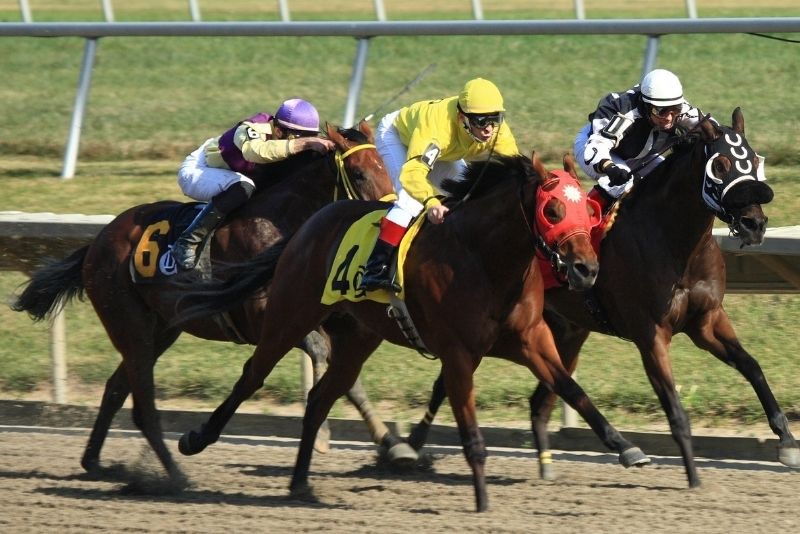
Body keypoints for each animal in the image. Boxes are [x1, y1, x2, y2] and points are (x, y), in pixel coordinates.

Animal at [9, 122, 404, 490]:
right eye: (358, 173)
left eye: (385, 166)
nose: (387, 213)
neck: (279, 224)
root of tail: (96, 243)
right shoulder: (265, 317)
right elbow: (321, 353)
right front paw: (324, 434)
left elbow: (348, 376)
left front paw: (392, 443)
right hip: (128, 323)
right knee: (143, 406)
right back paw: (174, 476)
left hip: (161, 329)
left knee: (116, 389)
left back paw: (95, 462)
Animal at [173, 153, 648, 512]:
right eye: (552, 210)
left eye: (588, 210)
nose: (586, 269)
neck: (486, 258)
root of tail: (307, 225)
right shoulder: (458, 354)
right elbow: (471, 432)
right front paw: (482, 501)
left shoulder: (532, 340)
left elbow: (573, 390)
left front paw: (626, 448)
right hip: (290, 313)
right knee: (253, 374)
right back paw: (196, 439)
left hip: (358, 337)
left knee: (321, 397)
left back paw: (300, 483)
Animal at [406, 107, 800, 488]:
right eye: (720, 165)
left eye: (754, 158)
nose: (754, 224)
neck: (673, 240)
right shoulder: (650, 334)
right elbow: (675, 409)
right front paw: (692, 477)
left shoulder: (706, 321)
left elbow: (752, 366)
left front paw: (786, 442)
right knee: (446, 384)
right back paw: (409, 446)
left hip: (563, 332)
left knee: (540, 400)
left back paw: (545, 468)